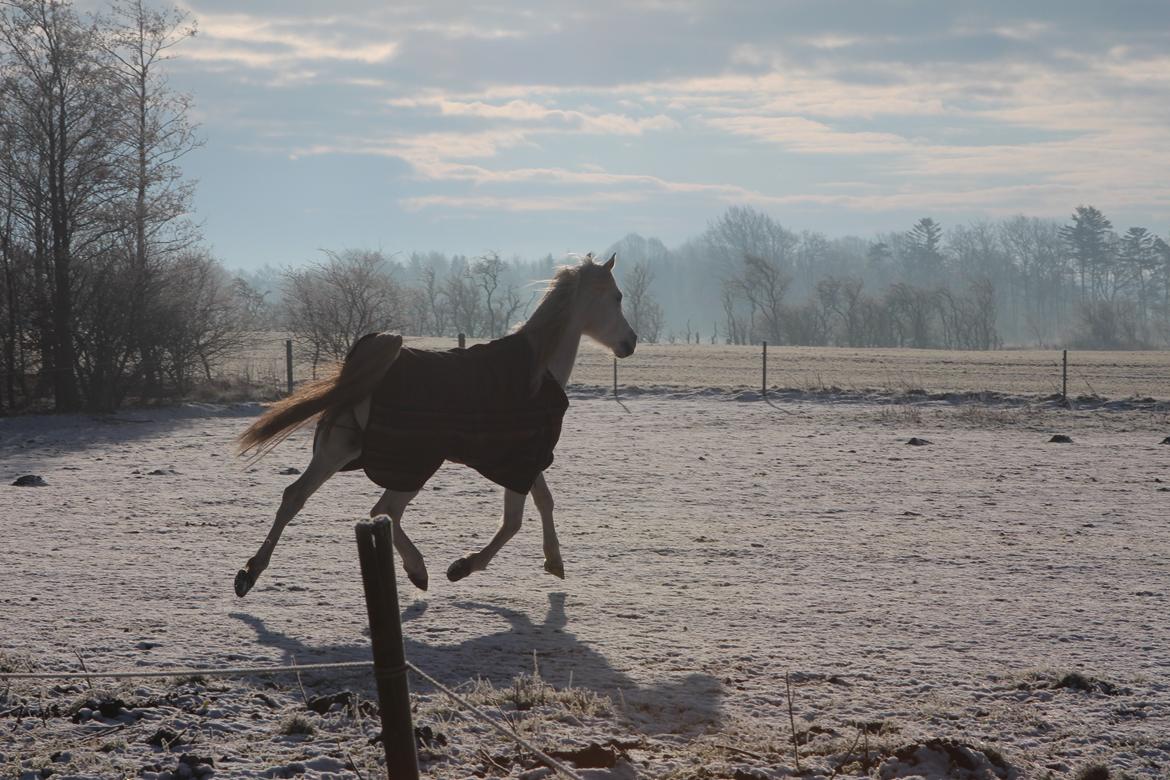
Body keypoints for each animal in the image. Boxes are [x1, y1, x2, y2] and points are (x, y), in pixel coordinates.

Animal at [231, 256, 636, 598]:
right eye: (617, 297)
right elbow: (515, 520)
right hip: (412, 465)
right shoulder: (519, 460)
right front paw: (464, 567)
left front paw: (554, 561)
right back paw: (418, 570)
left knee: (296, 496)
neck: (537, 370)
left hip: (341, 450)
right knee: (384, 510)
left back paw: (249, 573)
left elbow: (543, 502)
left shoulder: (525, 461)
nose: (630, 343)